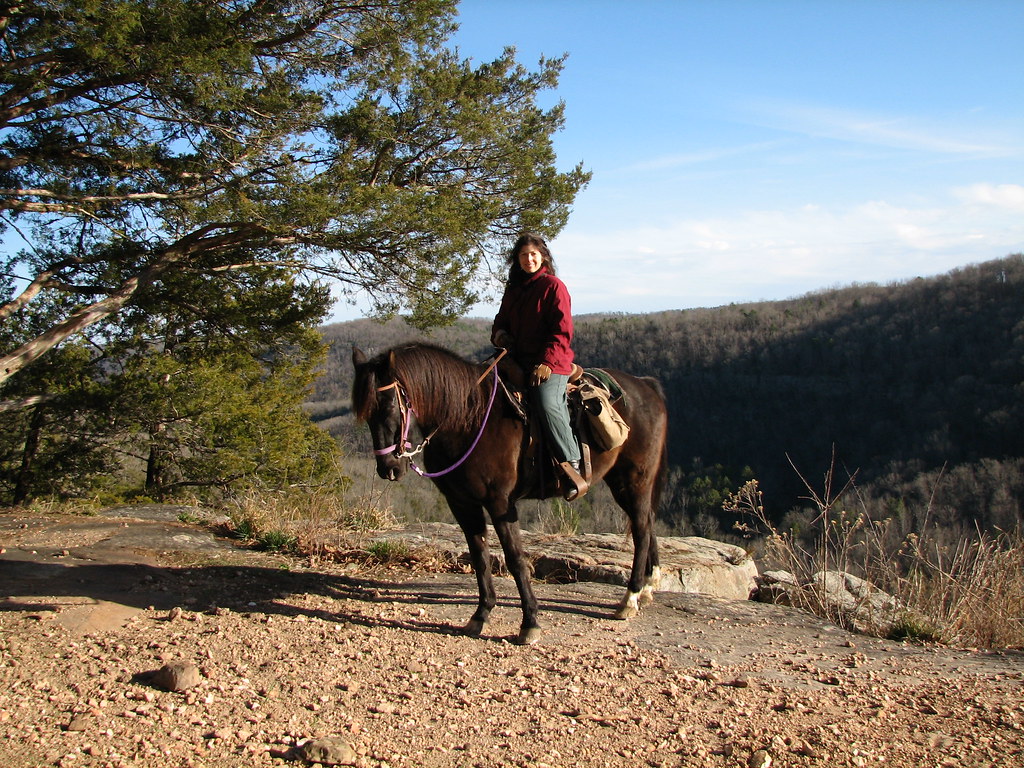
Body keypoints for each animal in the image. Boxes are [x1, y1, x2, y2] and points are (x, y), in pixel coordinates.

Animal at [351, 342, 668, 645]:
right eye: (365, 416)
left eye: (390, 407)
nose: (389, 468)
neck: (467, 417)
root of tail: (646, 385)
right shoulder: (462, 504)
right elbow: (479, 557)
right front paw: (480, 615)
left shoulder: (501, 503)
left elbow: (515, 559)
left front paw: (530, 623)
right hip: (623, 481)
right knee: (646, 523)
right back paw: (648, 588)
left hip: (634, 480)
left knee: (641, 529)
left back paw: (630, 598)